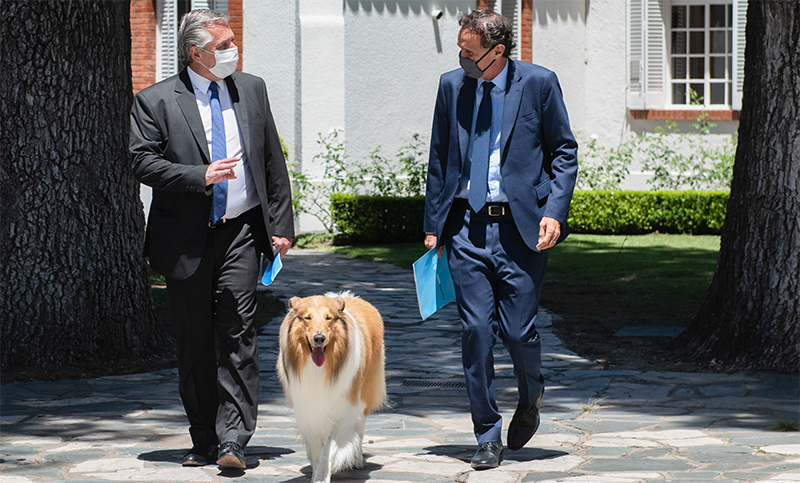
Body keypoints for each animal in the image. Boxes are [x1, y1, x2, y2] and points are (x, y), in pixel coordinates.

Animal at [276, 294, 386, 482]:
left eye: (328, 318)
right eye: (307, 317)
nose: (319, 338)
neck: (320, 367)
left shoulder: (344, 409)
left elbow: (328, 447)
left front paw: (322, 475)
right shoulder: (308, 411)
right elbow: (316, 449)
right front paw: (316, 471)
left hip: (363, 394)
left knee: (360, 427)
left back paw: (356, 459)